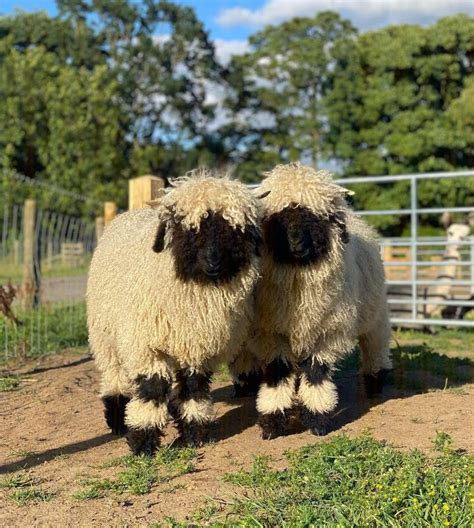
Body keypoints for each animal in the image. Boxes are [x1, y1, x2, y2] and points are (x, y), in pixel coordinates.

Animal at [86, 172, 262, 454]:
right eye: (188, 228)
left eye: (234, 229)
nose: (213, 261)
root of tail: (130, 213)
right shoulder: (145, 346)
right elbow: (152, 389)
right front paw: (143, 442)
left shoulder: (197, 348)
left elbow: (193, 387)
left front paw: (193, 432)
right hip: (105, 335)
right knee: (114, 374)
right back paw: (117, 419)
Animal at [234, 164, 392, 438]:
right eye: (278, 217)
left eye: (316, 217)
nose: (296, 240)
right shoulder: (271, 332)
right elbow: (277, 372)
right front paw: (272, 420)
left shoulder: (328, 332)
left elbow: (317, 374)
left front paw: (318, 419)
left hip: (375, 313)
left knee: (375, 344)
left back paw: (375, 381)